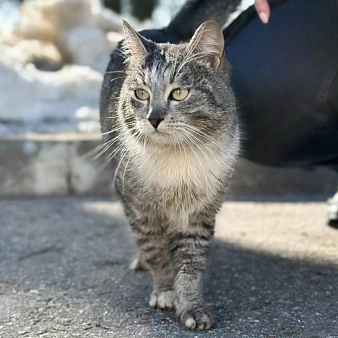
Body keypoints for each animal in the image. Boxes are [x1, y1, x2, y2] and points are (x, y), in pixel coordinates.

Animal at [99, 19, 239, 330]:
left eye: (179, 93)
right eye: (141, 94)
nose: (154, 118)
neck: (175, 160)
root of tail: (166, 28)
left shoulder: (200, 213)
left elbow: (191, 264)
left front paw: (191, 306)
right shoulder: (139, 207)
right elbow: (155, 250)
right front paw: (164, 291)